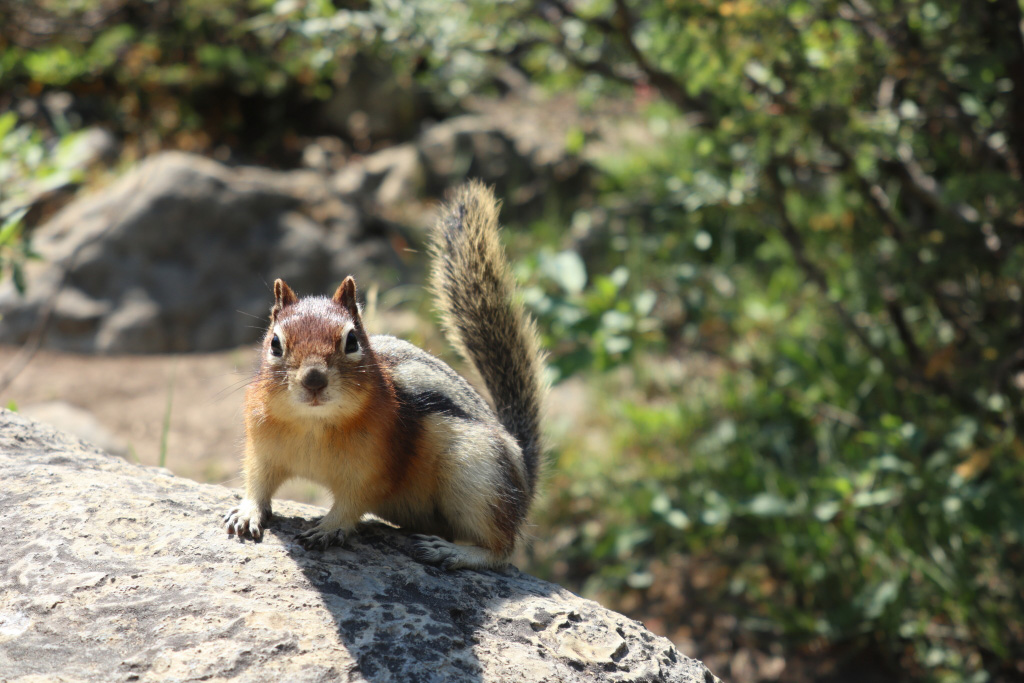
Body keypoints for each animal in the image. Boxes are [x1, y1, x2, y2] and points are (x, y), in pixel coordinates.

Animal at [222, 181, 544, 573]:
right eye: (274, 343)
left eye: (351, 341)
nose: (313, 380)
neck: (312, 423)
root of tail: (524, 476)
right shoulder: (262, 449)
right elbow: (257, 483)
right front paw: (247, 512)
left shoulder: (373, 468)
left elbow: (352, 504)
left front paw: (329, 528)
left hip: (478, 477)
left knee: (501, 547)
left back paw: (451, 551)